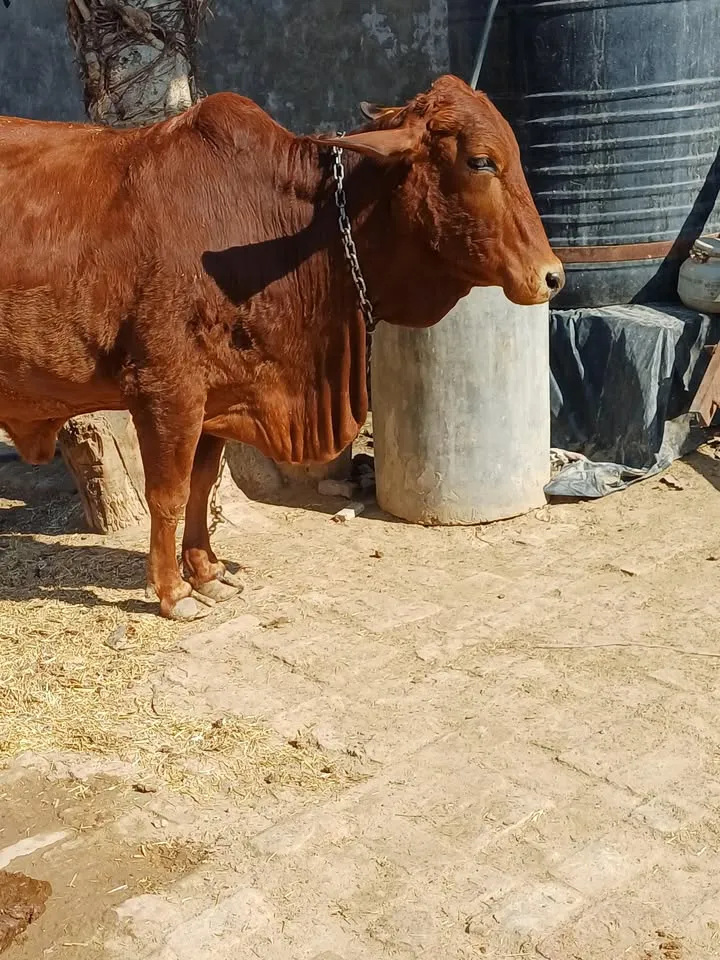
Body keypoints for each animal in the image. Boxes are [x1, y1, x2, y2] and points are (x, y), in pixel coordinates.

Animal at [0, 74, 564, 620]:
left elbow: (203, 485)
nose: (552, 276)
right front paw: (174, 592)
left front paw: (207, 571)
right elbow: (169, 493)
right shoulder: (165, 391)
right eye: (481, 161)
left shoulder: (219, 396)